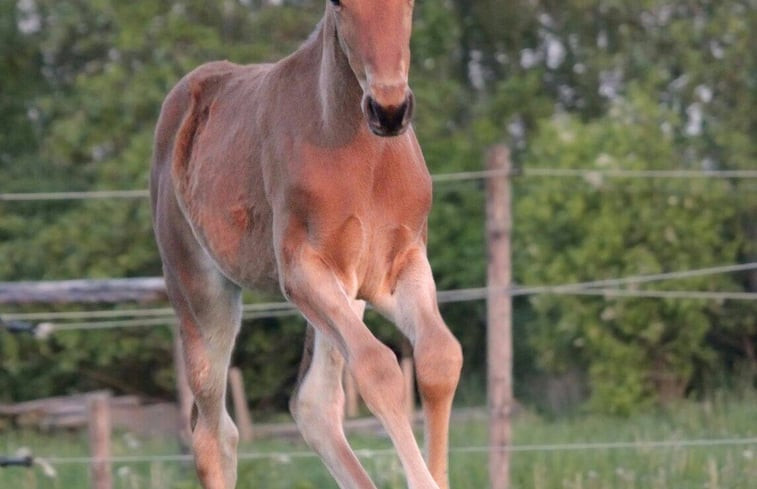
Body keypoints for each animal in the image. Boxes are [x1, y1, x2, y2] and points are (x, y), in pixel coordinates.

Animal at [149, 1, 460, 486]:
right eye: (338, 5)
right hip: (199, 290)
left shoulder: (398, 267)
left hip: (349, 294)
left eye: (411, 5)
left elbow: (439, 358)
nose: (389, 109)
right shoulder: (301, 271)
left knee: (314, 404)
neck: (366, 159)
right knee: (213, 433)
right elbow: (379, 369)